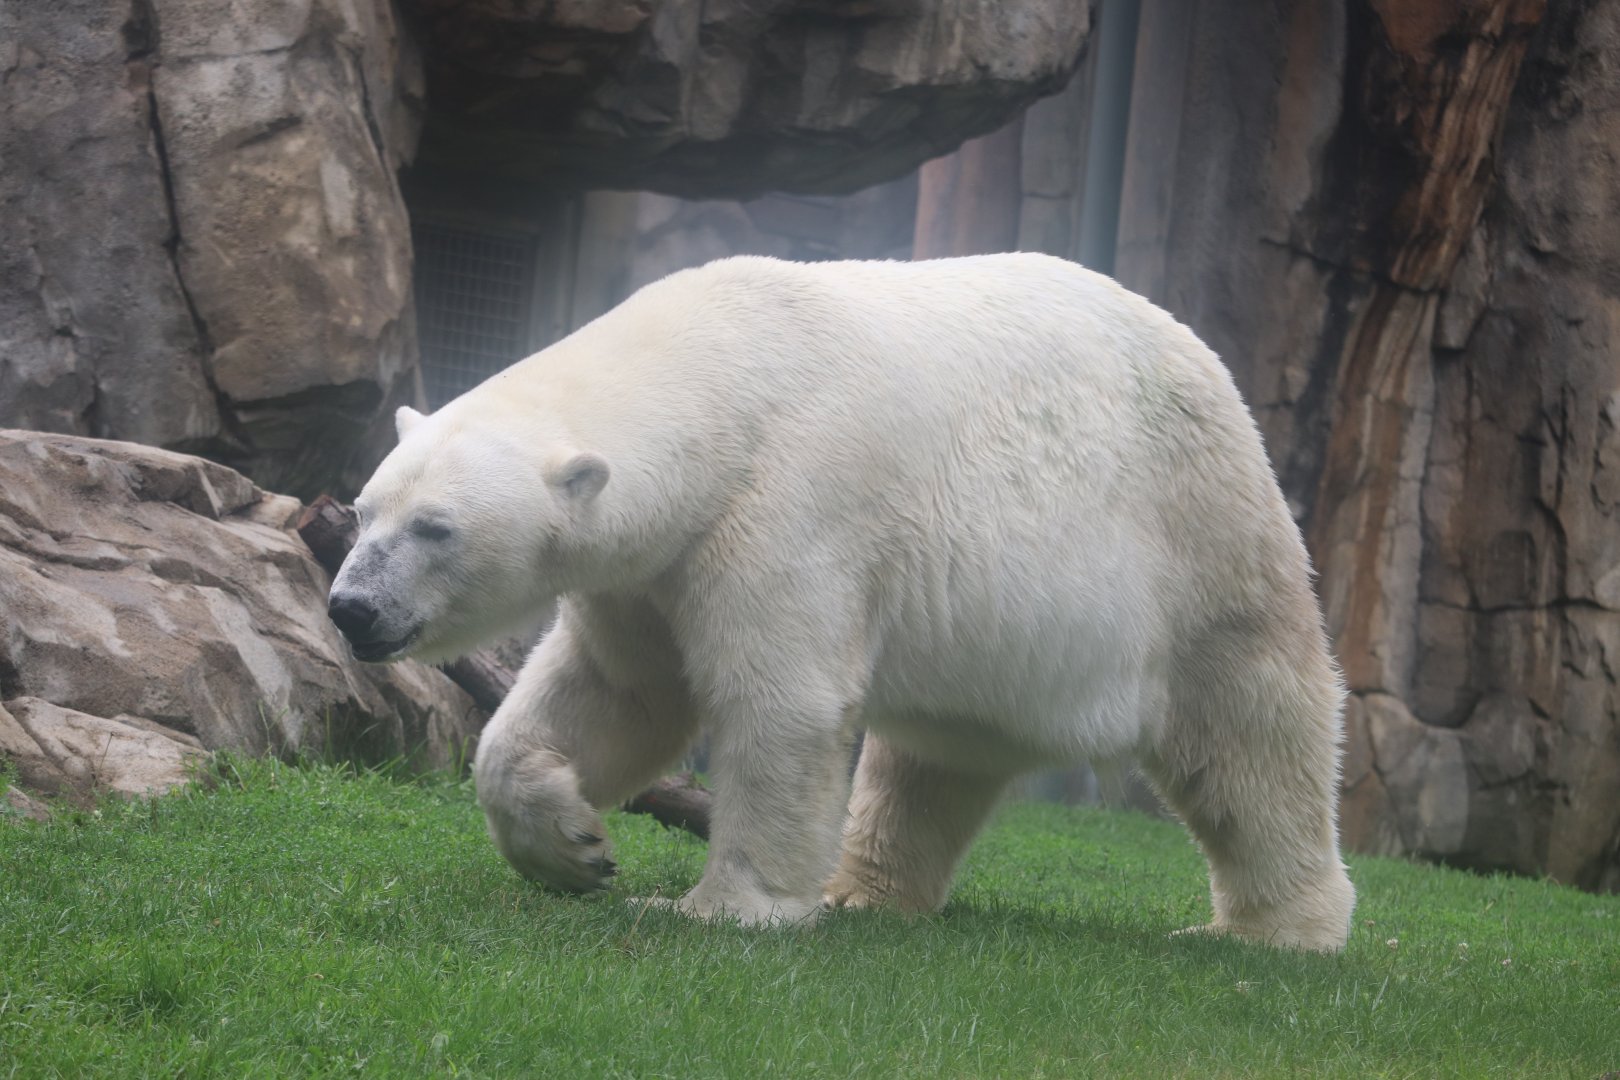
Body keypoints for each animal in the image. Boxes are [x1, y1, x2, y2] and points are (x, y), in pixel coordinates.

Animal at [328, 252, 1356, 951]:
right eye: (363, 511)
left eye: (436, 529)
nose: (351, 609)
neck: (722, 374)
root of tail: (1209, 365)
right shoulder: (652, 567)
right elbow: (620, 692)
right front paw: (575, 844)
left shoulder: (790, 504)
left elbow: (780, 701)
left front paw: (719, 908)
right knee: (936, 757)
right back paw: (864, 890)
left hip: (1197, 543)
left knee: (1249, 735)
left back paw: (1273, 929)